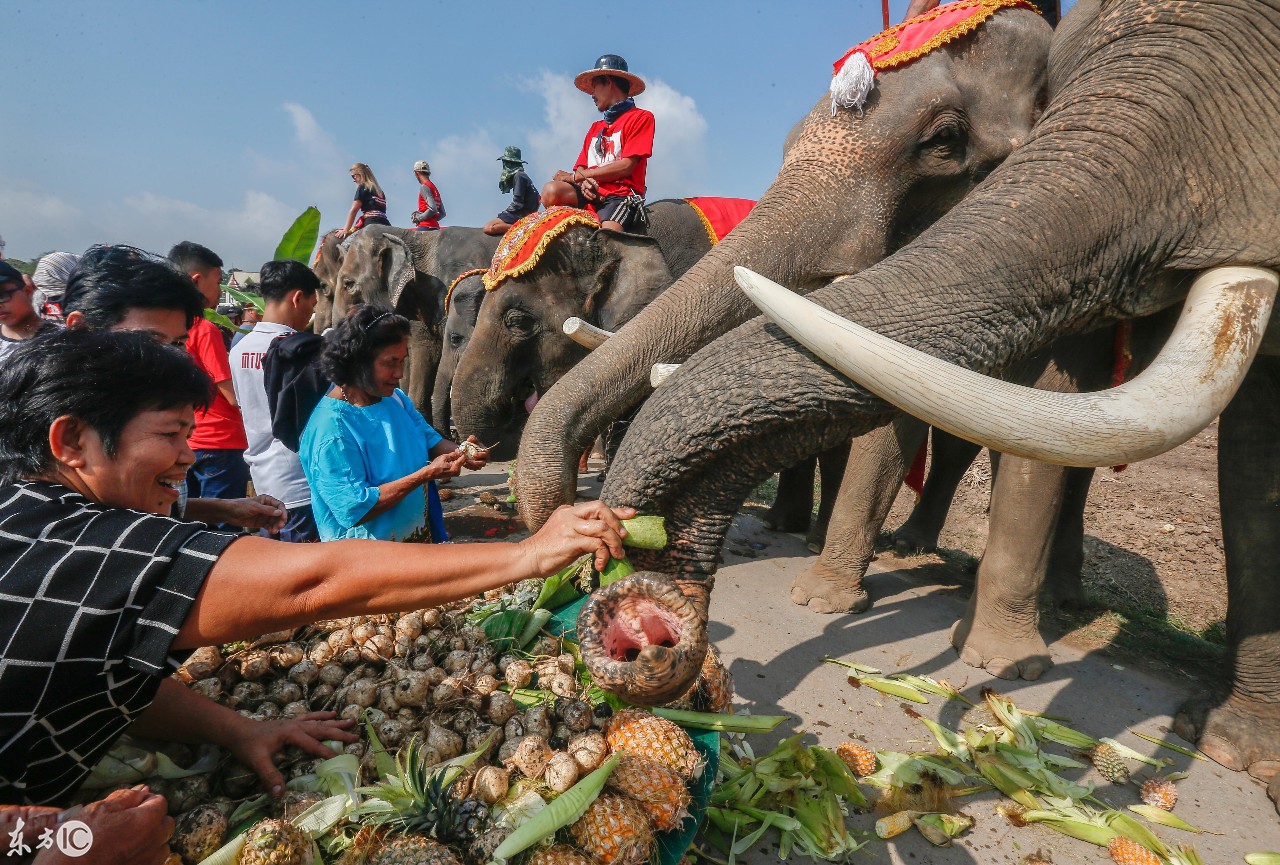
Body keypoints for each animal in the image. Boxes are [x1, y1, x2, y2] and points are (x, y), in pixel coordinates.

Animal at [586, 0, 1280, 808]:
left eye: (944, 142)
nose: (654, 614)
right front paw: (823, 602)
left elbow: (1057, 394)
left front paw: (1003, 667)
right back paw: (918, 552)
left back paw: (1050, 606)